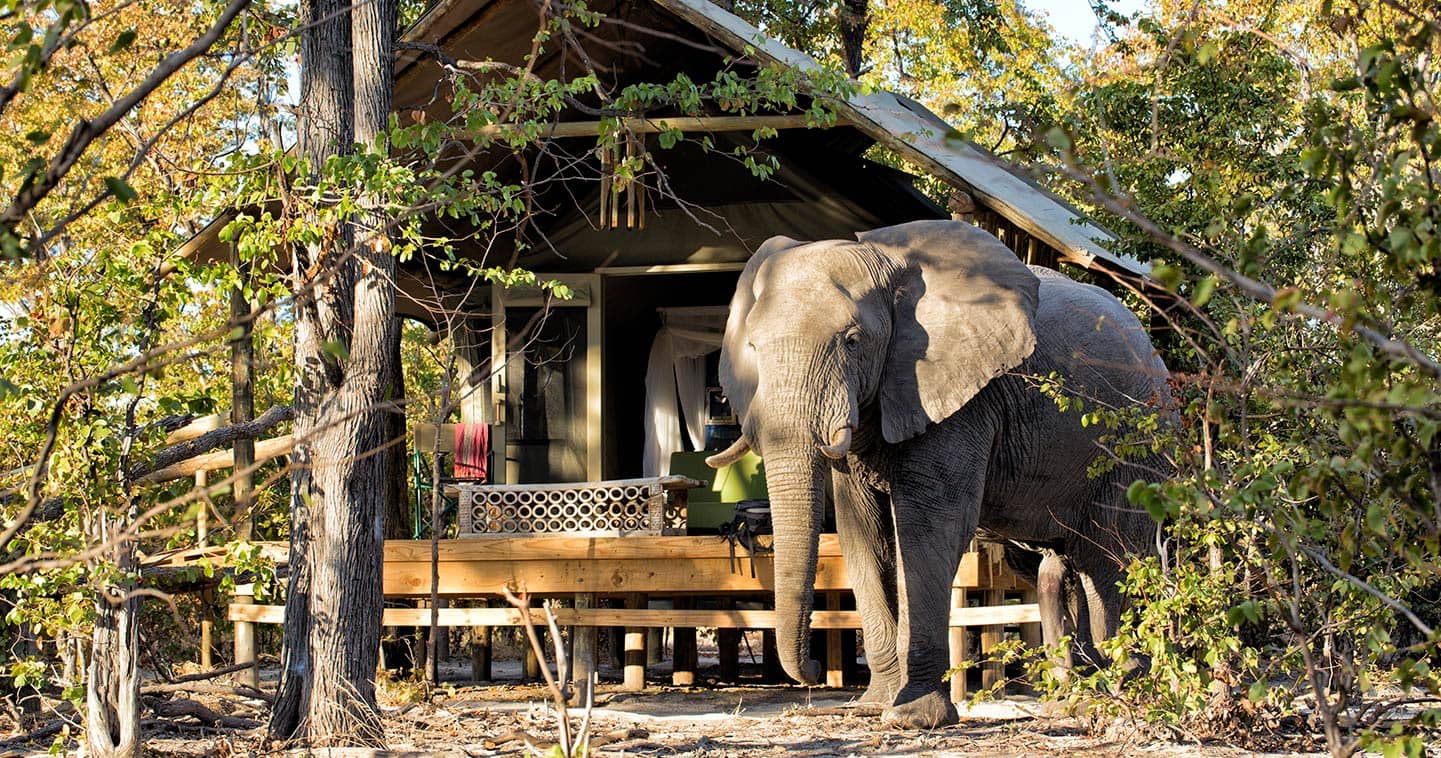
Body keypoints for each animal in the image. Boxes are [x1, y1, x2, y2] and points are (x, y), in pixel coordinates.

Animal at [705, 219, 1171, 729]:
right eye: (753, 348)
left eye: (853, 340)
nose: (809, 670)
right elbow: (862, 530)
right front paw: (875, 706)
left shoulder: (962, 399)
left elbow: (929, 526)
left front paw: (912, 717)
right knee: (1063, 562)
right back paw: (1081, 698)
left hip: (1138, 445)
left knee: (1107, 557)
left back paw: (1125, 689)